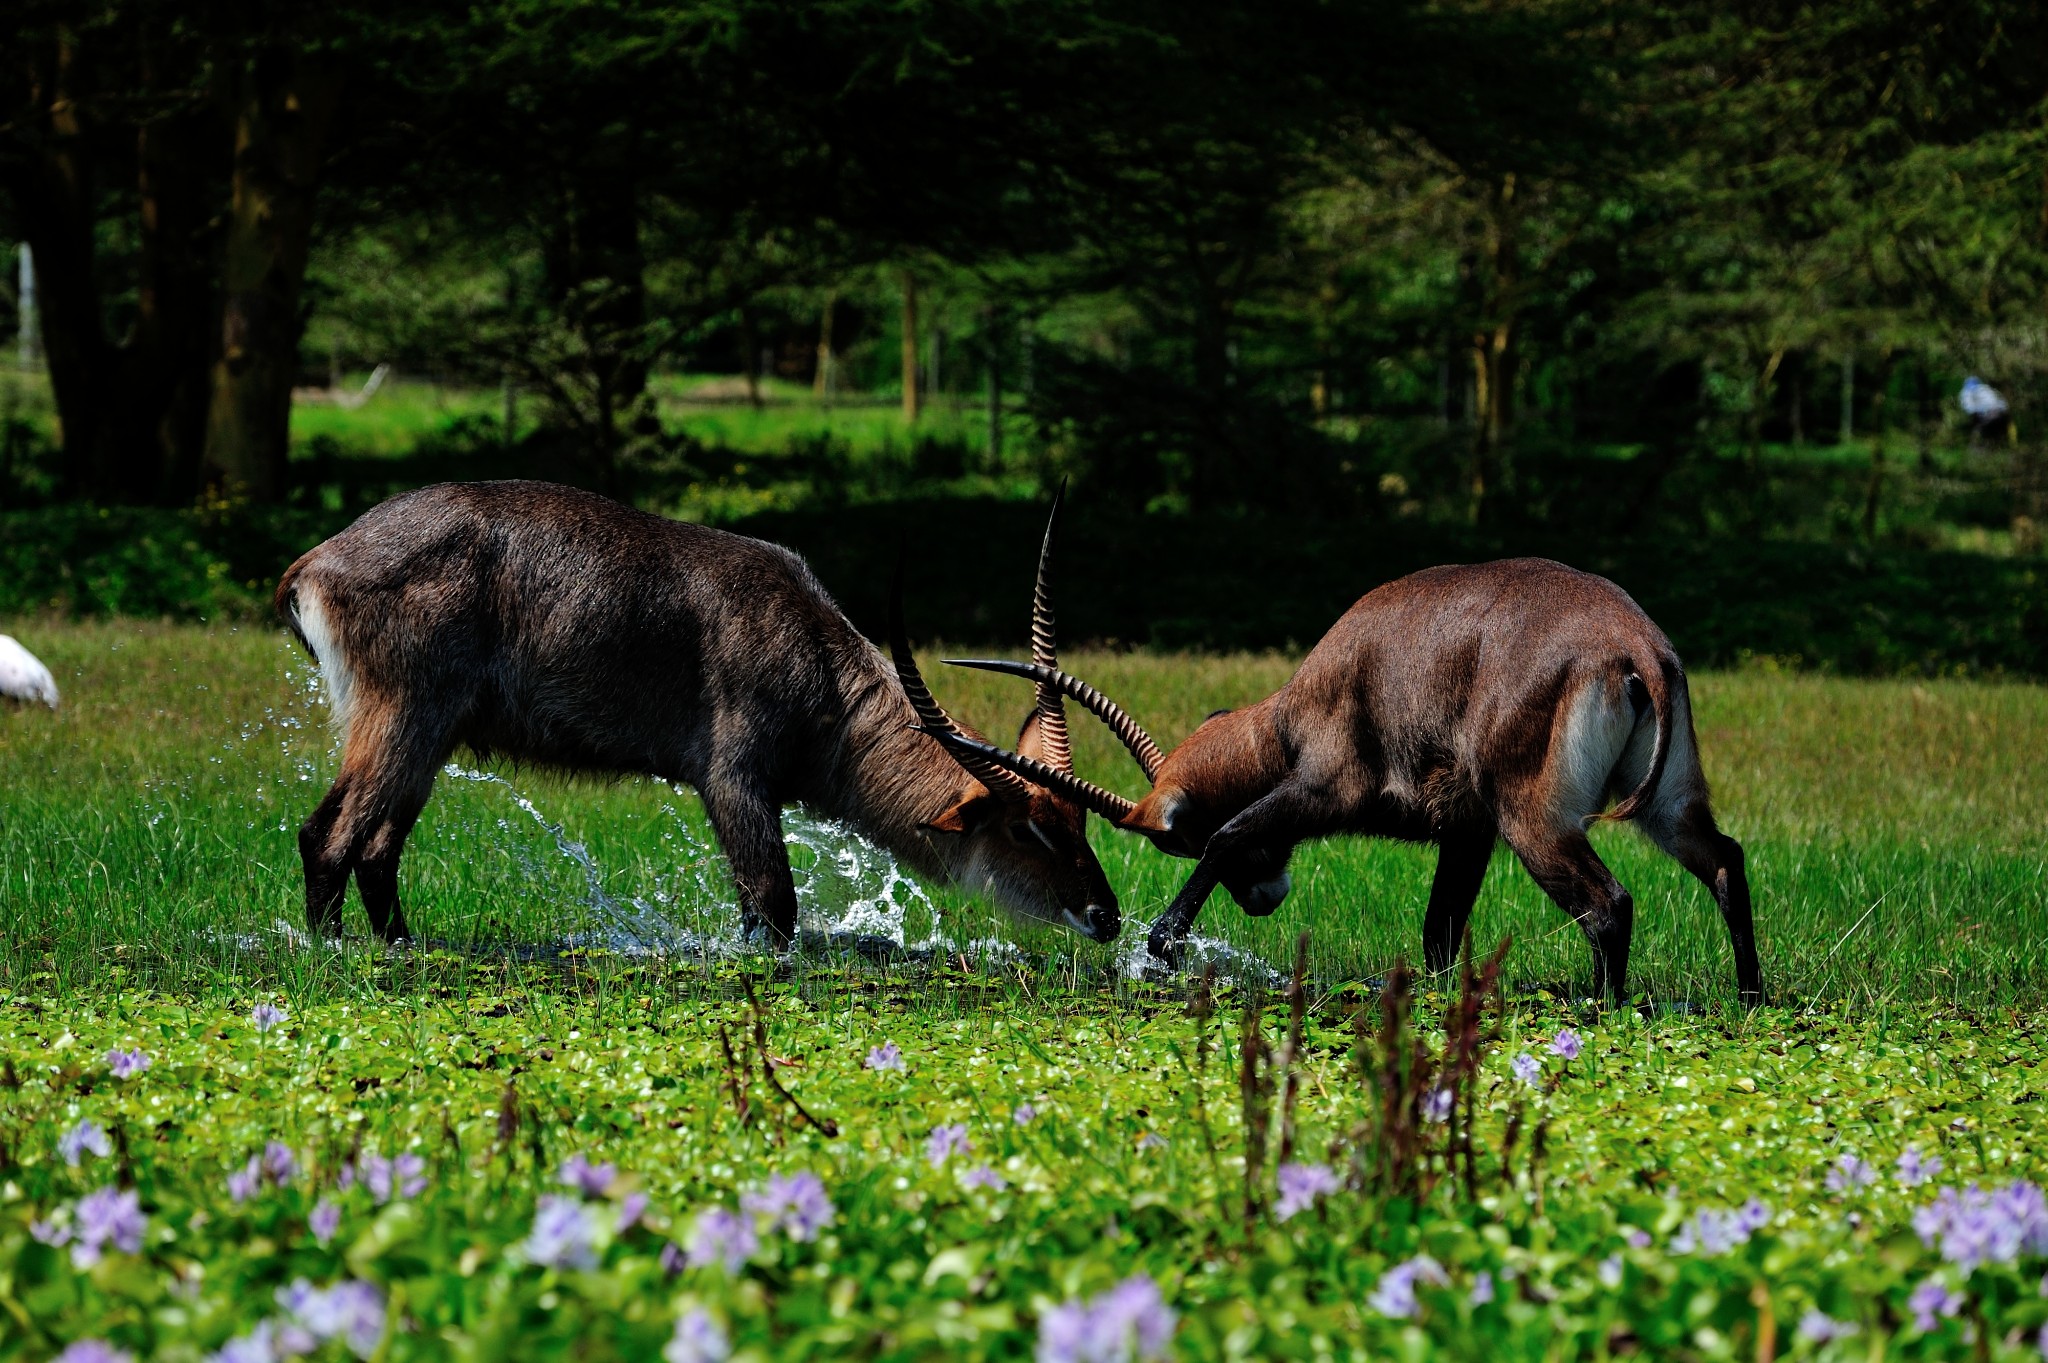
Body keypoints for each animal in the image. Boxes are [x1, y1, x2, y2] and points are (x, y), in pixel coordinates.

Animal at [274, 476, 1122, 945]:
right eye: (1028, 828)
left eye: (1079, 820)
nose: (1107, 915)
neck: (821, 668)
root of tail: (316, 558)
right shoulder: (734, 779)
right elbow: (773, 904)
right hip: (402, 718)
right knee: (328, 835)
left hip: (432, 736)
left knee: (377, 848)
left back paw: (401, 945)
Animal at [925, 556, 1761, 1002]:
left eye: (1178, 837)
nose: (1265, 899)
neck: (1290, 713)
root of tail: (1634, 645)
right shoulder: (1467, 832)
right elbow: (1438, 932)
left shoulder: (1326, 787)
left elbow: (1237, 828)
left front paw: (1162, 943)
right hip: (1666, 806)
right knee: (1724, 859)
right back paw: (1748, 996)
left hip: (1537, 823)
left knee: (1608, 903)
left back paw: (1604, 1009)